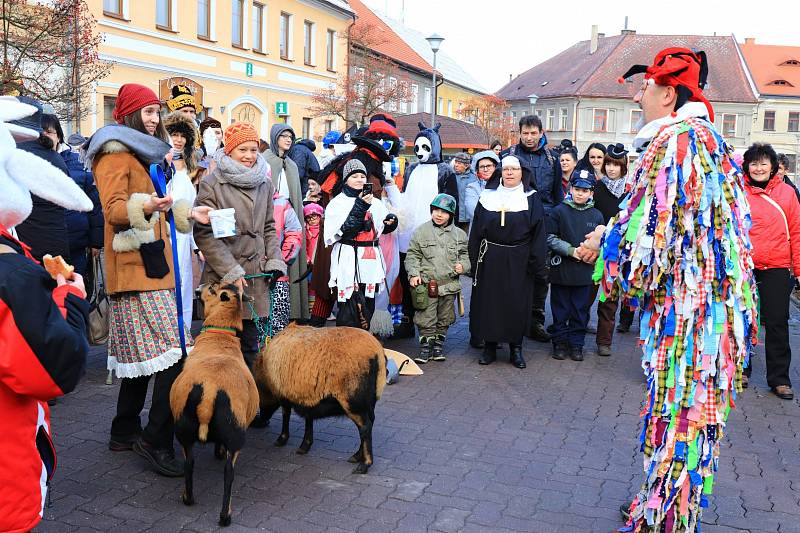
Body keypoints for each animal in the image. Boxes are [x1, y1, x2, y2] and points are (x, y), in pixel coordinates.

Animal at [170, 284, 260, 524]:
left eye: (211, 288)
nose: (199, 287)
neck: (220, 336)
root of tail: (210, 389)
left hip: (185, 429)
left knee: (192, 464)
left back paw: (192, 500)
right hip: (233, 433)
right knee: (228, 474)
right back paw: (223, 515)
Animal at [253, 324, 384, 474]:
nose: (258, 421)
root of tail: (376, 353)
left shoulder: (283, 395)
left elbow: (286, 415)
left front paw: (282, 439)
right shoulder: (308, 396)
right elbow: (308, 418)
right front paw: (305, 445)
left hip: (352, 400)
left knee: (365, 427)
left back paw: (365, 464)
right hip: (370, 400)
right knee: (370, 422)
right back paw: (357, 456)